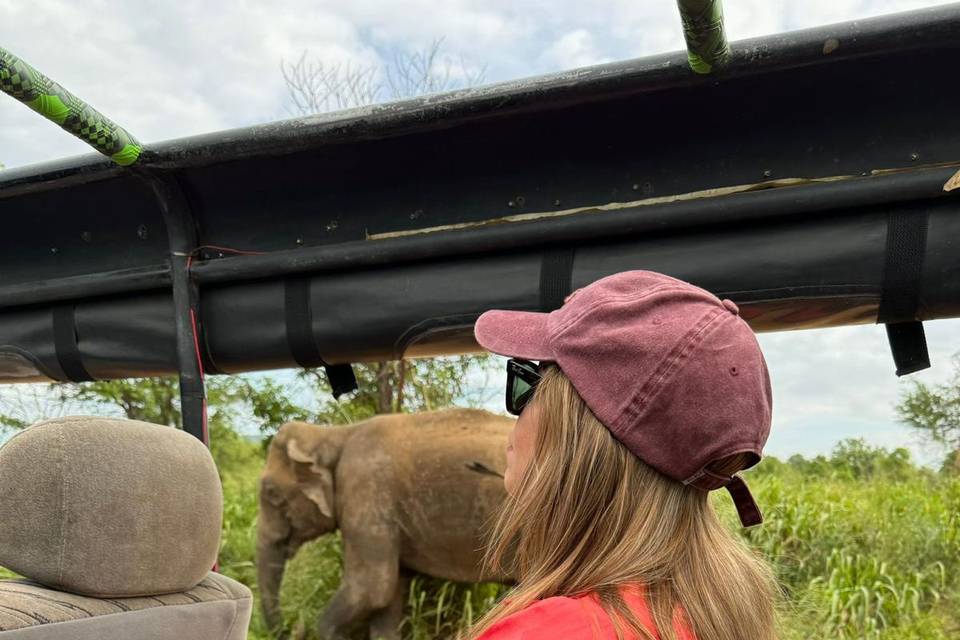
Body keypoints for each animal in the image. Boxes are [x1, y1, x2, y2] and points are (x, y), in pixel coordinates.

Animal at [251, 408, 512, 636]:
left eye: (272, 493)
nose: (294, 626)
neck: (333, 435)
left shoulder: (366, 494)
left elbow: (371, 589)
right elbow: (388, 600)